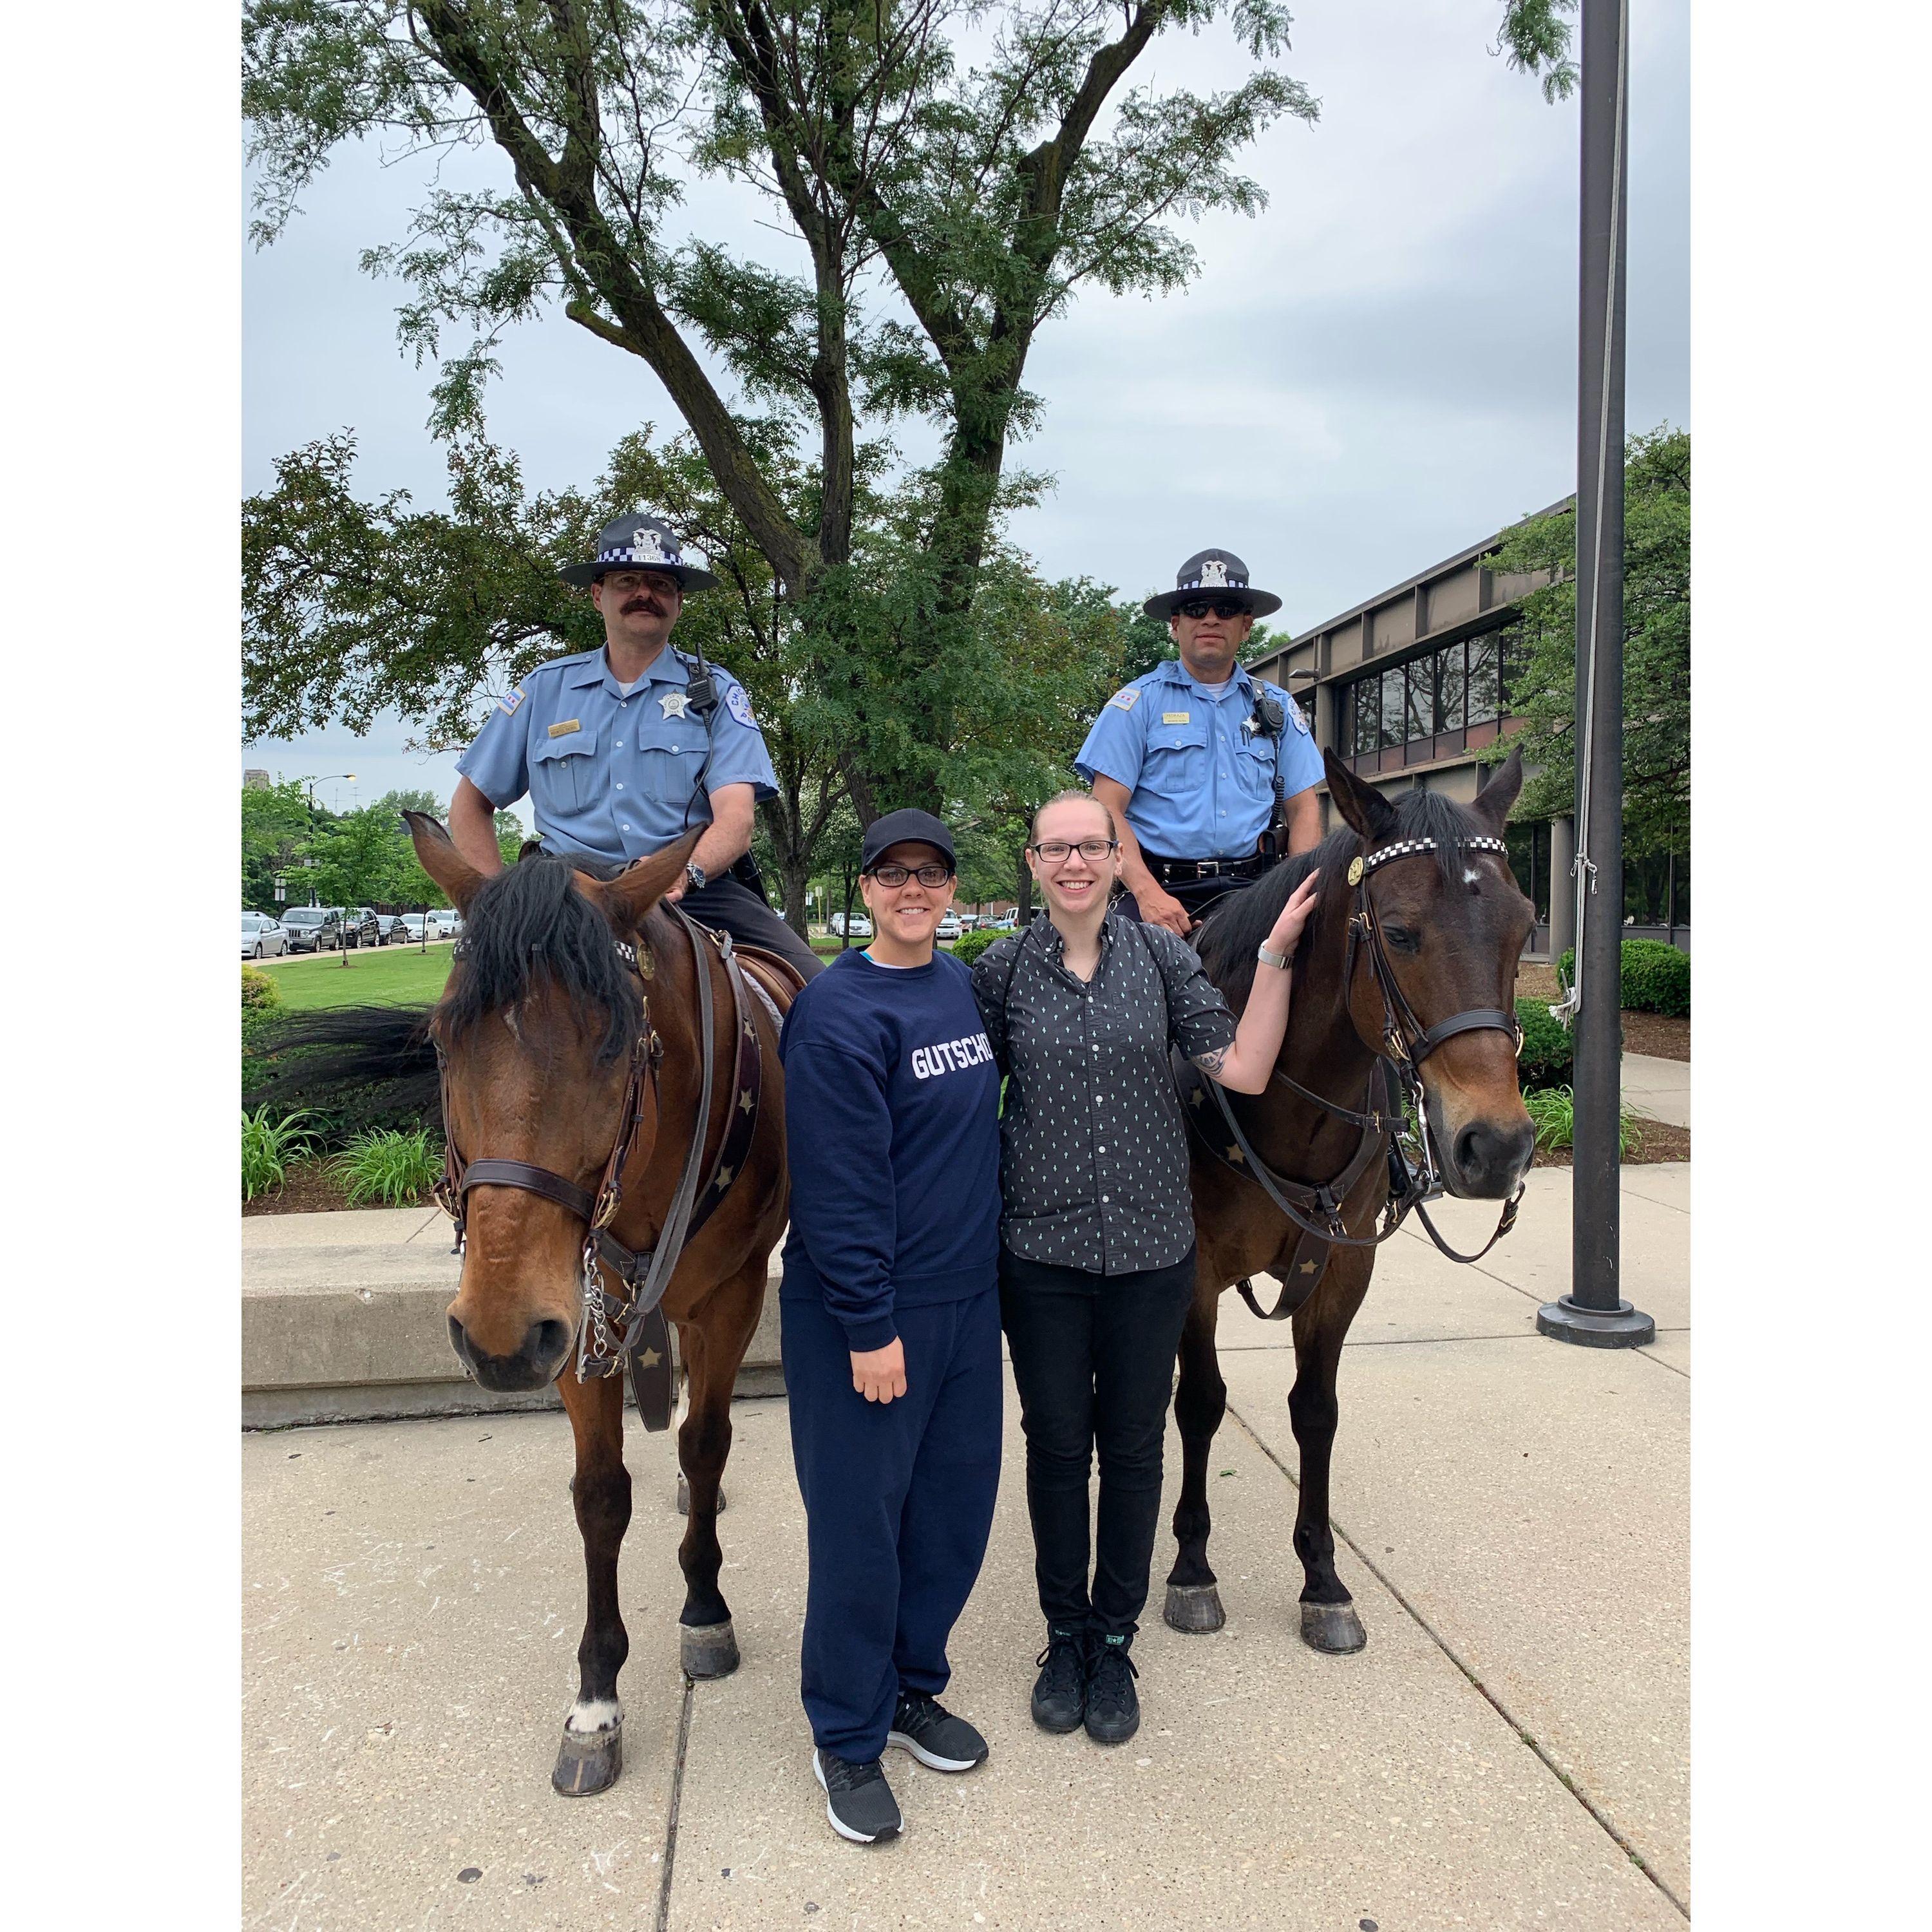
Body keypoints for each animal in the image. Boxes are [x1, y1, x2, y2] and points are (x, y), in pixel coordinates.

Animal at [1159, 746, 1538, 1654]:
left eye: (1527, 926)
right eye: (1398, 933)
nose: (1496, 1147)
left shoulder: (1339, 1272)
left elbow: (1317, 1412)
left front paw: (1323, 1578)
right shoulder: (1192, 1274)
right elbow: (1201, 1403)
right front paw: (1192, 1566)